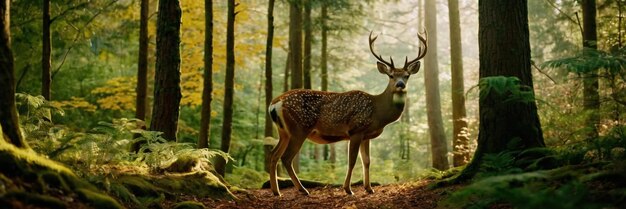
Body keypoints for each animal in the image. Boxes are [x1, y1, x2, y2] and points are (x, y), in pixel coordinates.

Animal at [266, 30, 426, 196]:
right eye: (391, 75)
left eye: (407, 75)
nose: (400, 85)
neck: (378, 113)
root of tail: (274, 103)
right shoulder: (356, 130)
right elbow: (352, 161)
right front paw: (348, 189)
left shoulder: (366, 135)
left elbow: (367, 161)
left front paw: (369, 188)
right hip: (299, 128)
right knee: (286, 157)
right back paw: (302, 190)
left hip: (284, 131)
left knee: (273, 154)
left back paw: (276, 191)